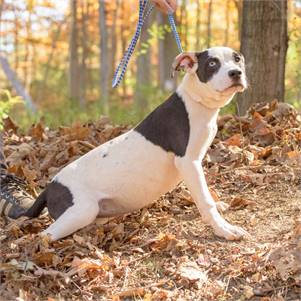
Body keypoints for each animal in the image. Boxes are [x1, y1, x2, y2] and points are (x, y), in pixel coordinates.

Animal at [21, 46, 247, 239]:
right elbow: (205, 200)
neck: (195, 101)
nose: (236, 73)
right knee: (44, 236)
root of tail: (50, 187)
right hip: (82, 210)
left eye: (238, 59)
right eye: (212, 63)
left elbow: (203, 193)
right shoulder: (188, 162)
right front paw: (224, 229)